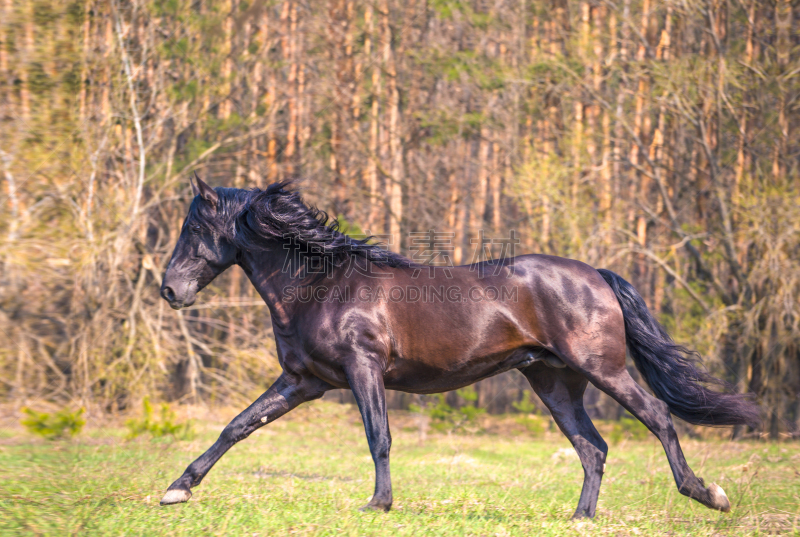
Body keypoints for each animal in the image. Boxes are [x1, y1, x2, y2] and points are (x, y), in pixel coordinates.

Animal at [158, 178, 764, 516]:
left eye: (194, 229)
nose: (170, 290)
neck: (321, 284)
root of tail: (595, 274)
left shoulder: (361, 369)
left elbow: (379, 437)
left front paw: (379, 503)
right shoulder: (304, 382)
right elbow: (237, 426)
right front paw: (176, 490)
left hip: (603, 369)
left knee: (657, 417)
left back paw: (708, 494)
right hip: (553, 381)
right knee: (592, 448)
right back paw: (580, 518)